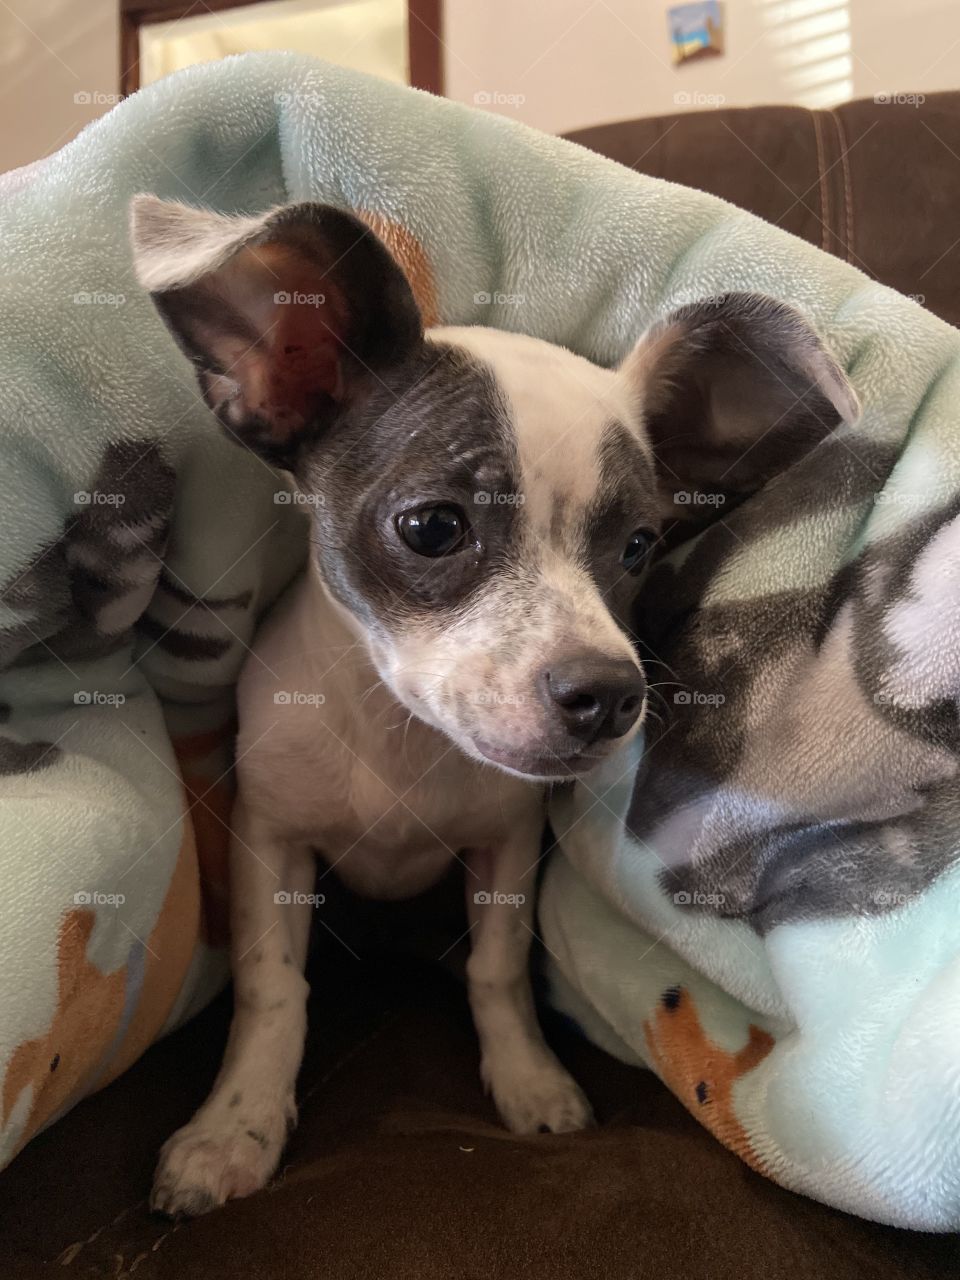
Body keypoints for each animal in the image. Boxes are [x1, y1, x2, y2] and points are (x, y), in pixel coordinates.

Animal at [129, 194, 855, 1213]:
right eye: (434, 527)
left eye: (638, 546)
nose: (610, 695)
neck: (400, 744)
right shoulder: (271, 840)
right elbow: (274, 986)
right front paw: (236, 1124)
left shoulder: (506, 846)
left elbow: (497, 967)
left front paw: (527, 1078)